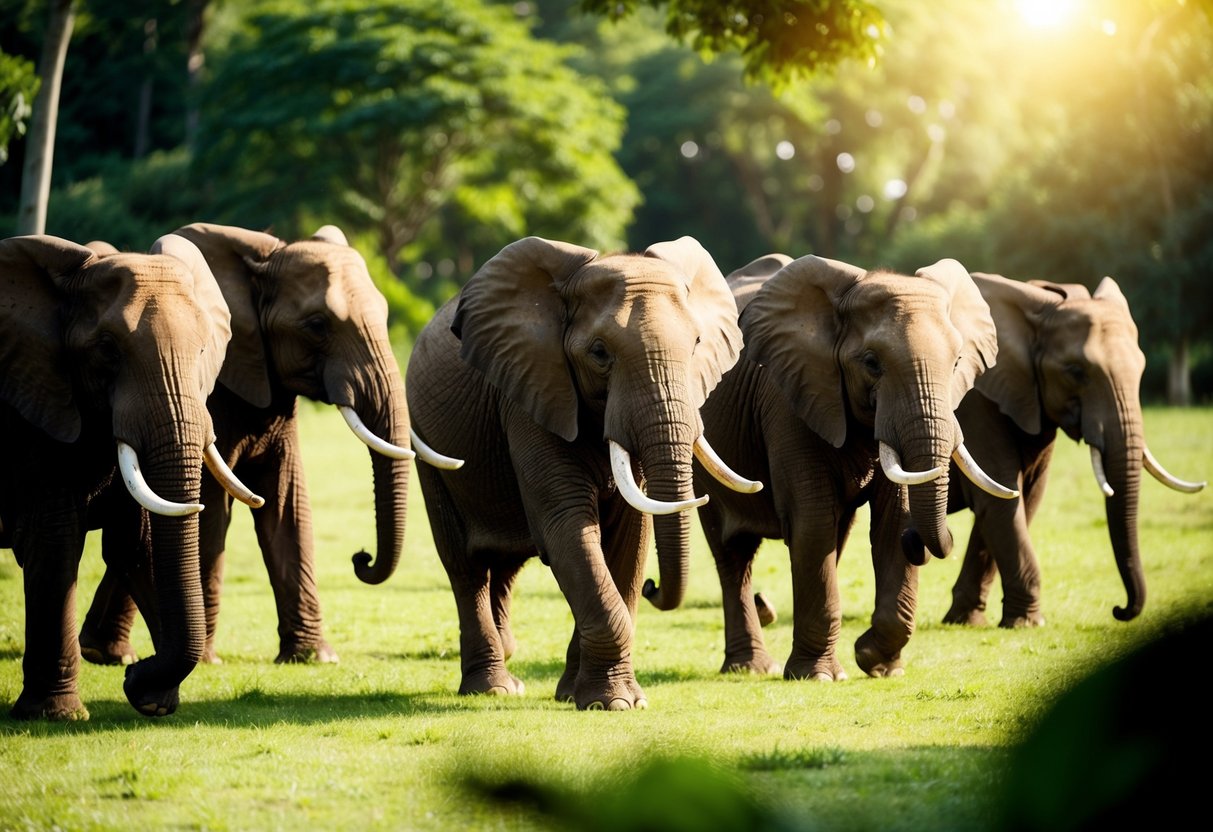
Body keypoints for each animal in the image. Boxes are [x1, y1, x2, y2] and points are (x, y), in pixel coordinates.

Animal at [1, 231, 258, 717]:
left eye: (203, 350)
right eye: (108, 349)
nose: (132, 674)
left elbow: (137, 543)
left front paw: (152, 700)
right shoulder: (38, 409)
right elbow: (55, 541)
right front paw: (58, 714)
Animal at [75, 224, 460, 669]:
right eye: (317, 325)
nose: (360, 557)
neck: (264, 259)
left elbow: (288, 501)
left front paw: (315, 658)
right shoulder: (214, 395)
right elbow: (210, 506)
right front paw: (208, 661)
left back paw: (104, 651)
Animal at [405, 235, 756, 708]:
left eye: (698, 342)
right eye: (600, 353)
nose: (654, 586)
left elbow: (630, 533)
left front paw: (582, 696)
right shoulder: (531, 388)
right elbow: (567, 521)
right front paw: (614, 703)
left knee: (503, 565)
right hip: (428, 445)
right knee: (465, 566)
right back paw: (493, 688)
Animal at [693, 254, 1014, 684]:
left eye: (958, 361)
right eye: (872, 363)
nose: (918, 543)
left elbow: (892, 520)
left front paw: (879, 664)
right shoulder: (791, 400)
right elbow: (812, 523)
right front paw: (819, 676)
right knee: (733, 554)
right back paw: (750, 668)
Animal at [936, 276, 1203, 630]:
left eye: (1142, 368)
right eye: (1076, 371)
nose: (1119, 609)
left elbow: (1021, 496)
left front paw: (965, 621)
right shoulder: (976, 405)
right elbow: (1001, 501)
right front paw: (1028, 624)